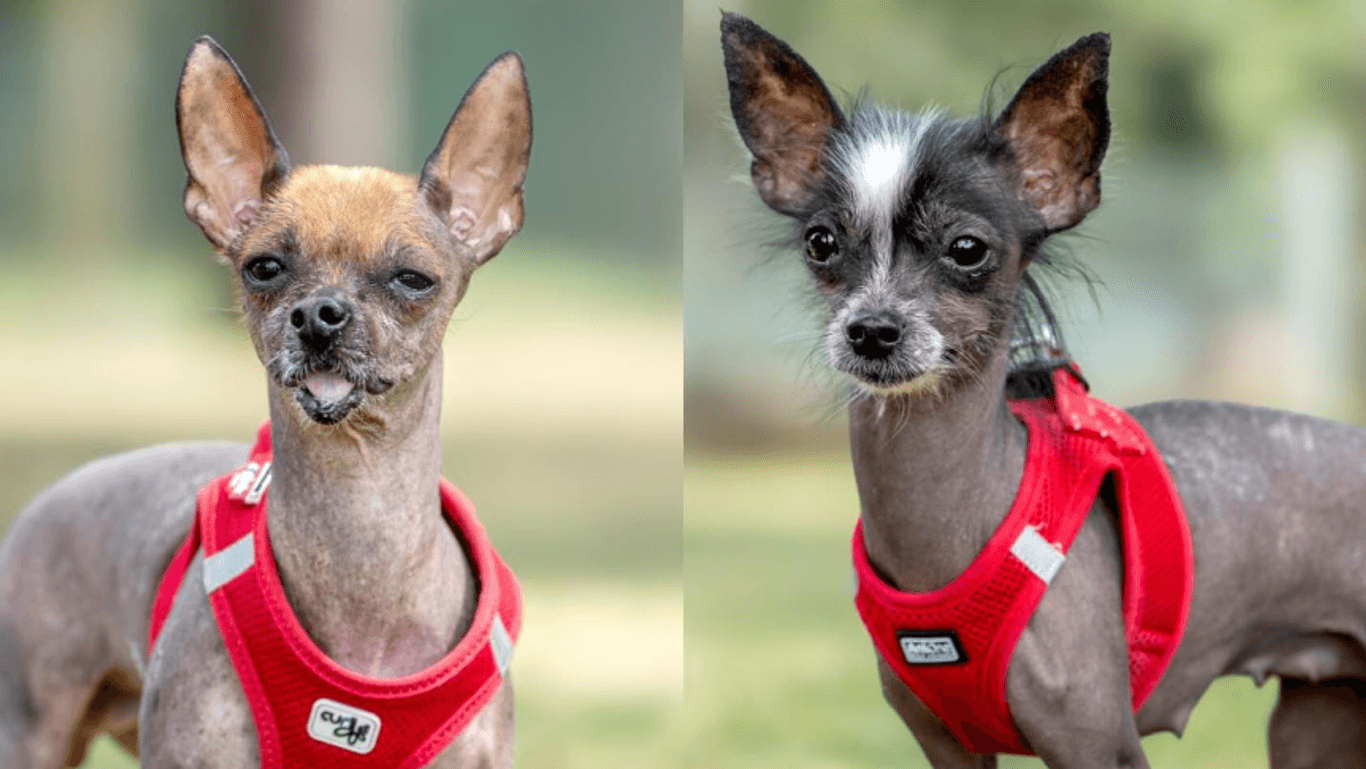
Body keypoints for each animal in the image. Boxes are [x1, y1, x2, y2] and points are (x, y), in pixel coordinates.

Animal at [726, 12, 1366, 769]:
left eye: (967, 249)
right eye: (821, 242)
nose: (871, 330)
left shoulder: (1099, 745)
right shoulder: (948, 748)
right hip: (1318, 724)